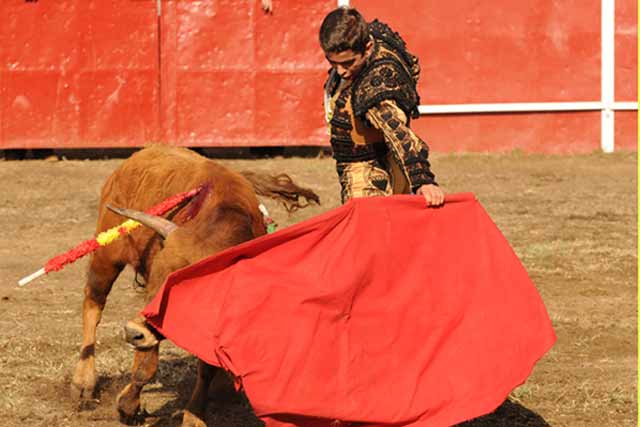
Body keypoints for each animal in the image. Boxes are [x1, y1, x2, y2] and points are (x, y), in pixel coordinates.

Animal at [70, 145, 318, 426]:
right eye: (156, 279)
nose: (133, 332)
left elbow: (207, 367)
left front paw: (194, 414)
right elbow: (145, 366)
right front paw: (128, 407)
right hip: (107, 254)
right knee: (93, 303)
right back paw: (83, 384)